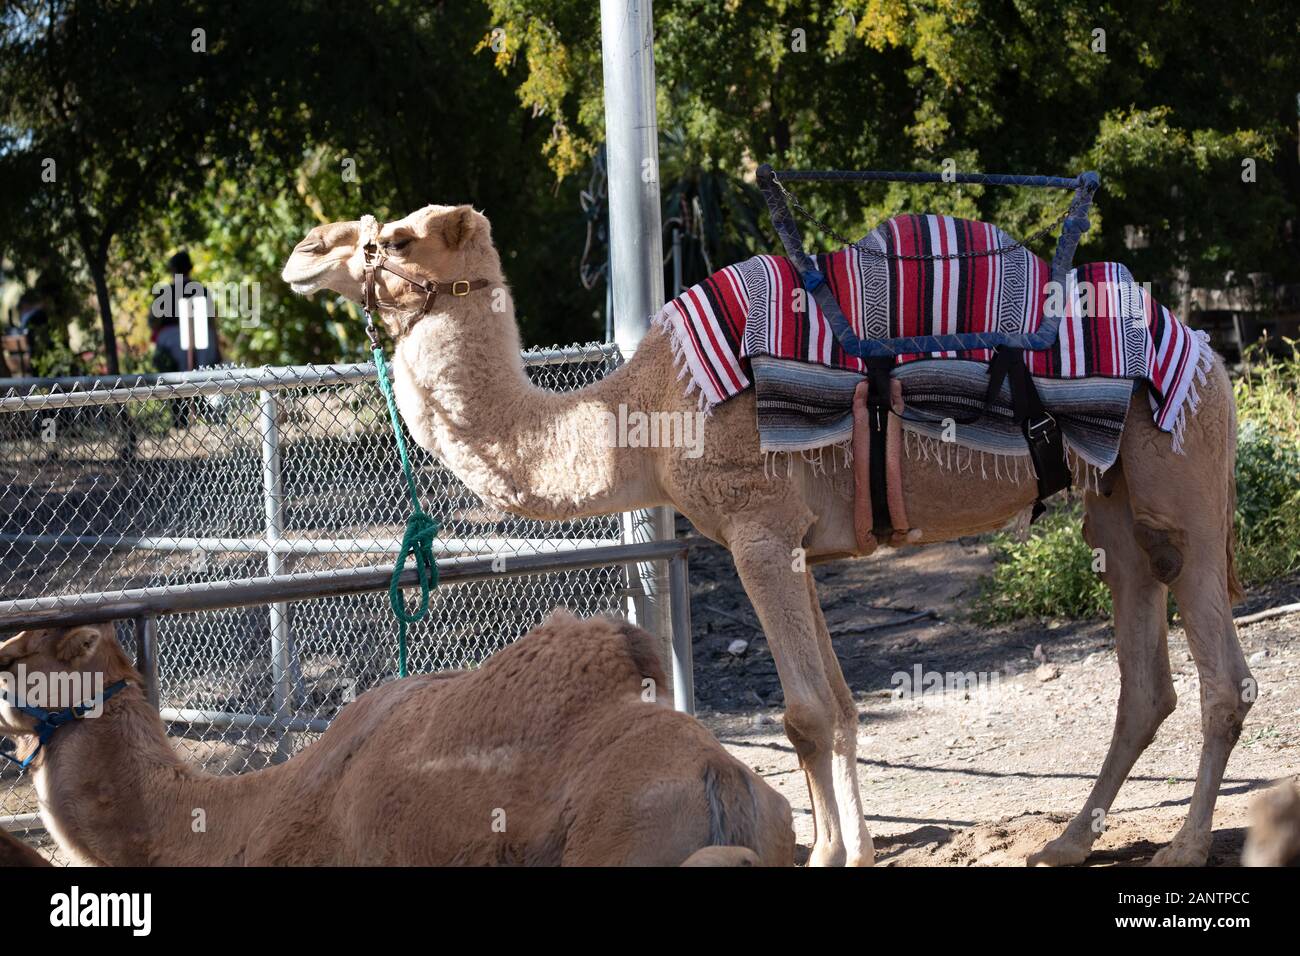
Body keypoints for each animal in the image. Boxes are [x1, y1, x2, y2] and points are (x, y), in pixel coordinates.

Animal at [282, 201, 1248, 868]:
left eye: (391, 240)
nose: (301, 253)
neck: (641, 417)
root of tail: (1202, 349)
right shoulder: (803, 544)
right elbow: (845, 708)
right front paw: (846, 849)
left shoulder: (757, 528)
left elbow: (805, 713)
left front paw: (827, 853)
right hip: (1118, 508)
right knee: (1143, 681)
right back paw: (1067, 843)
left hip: (1186, 482)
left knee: (1223, 679)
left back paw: (1185, 845)